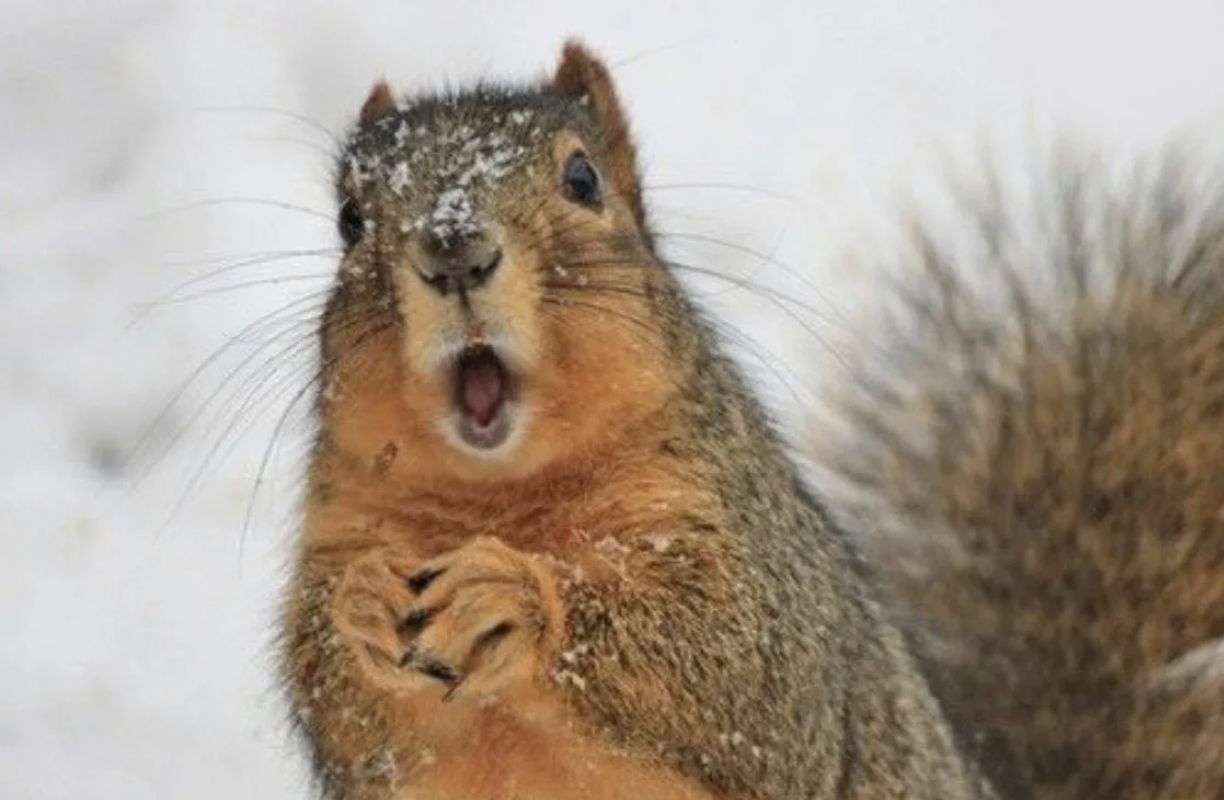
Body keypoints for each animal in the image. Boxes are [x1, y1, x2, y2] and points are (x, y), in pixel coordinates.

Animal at [276, 40, 995, 800]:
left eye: (583, 179)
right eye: (349, 218)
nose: (453, 252)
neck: (497, 492)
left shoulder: (749, 551)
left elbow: (733, 650)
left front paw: (513, 599)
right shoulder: (342, 531)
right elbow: (335, 696)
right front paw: (361, 604)